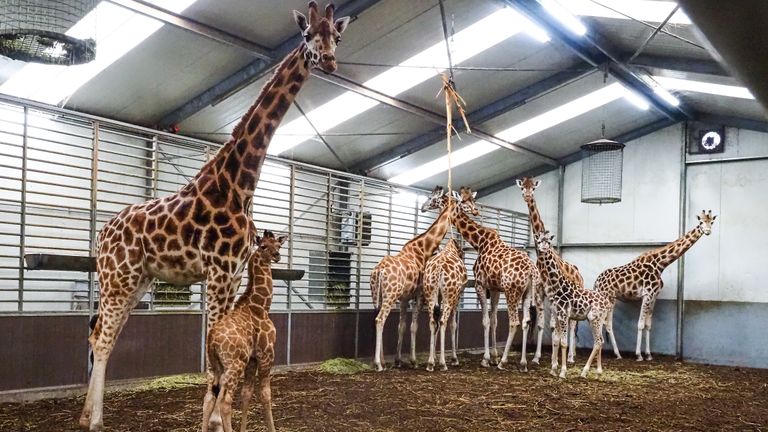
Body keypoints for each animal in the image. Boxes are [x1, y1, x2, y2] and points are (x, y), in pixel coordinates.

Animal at [201, 230, 284, 432]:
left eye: (278, 245)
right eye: (263, 246)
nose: (277, 255)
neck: (261, 306)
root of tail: (212, 339)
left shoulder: (252, 359)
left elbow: (247, 393)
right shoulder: (267, 354)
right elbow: (265, 394)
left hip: (214, 366)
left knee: (209, 398)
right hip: (234, 365)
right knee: (225, 400)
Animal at [422, 238, 468, 372]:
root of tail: (438, 270)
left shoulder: (438, 296)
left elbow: (436, 323)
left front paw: (434, 357)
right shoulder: (457, 297)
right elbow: (453, 325)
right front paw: (454, 359)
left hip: (430, 294)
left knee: (433, 322)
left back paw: (430, 363)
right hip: (449, 296)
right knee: (443, 322)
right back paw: (443, 364)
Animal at [517, 177, 585, 364]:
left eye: (533, 188)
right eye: (522, 187)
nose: (526, 196)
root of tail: (579, 274)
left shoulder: (554, 296)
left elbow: (554, 326)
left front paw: (556, 358)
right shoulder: (540, 293)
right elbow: (541, 325)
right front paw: (536, 357)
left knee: (572, 324)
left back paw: (571, 357)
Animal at [534, 231, 611, 379]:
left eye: (549, 242)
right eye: (539, 241)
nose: (543, 249)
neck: (558, 287)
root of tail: (607, 303)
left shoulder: (564, 315)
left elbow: (564, 343)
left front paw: (563, 372)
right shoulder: (557, 315)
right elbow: (556, 340)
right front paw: (553, 369)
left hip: (594, 318)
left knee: (598, 341)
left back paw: (584, 371)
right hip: (596, 319)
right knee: (601, 340)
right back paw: (598, 371)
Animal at [594, 210, 717, 362]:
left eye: (712, 222)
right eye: (701, 222)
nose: (707, 231)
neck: (660, 264)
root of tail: (597, 281)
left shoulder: (654, 296)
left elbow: (648, 325)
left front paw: (648, 355)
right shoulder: (647, 294)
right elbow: (640, 324)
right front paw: (638, 355)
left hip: (611, 299)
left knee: (605, 323)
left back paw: (615, 353)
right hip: (608, 298)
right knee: (607, 323)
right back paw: (615, 353)